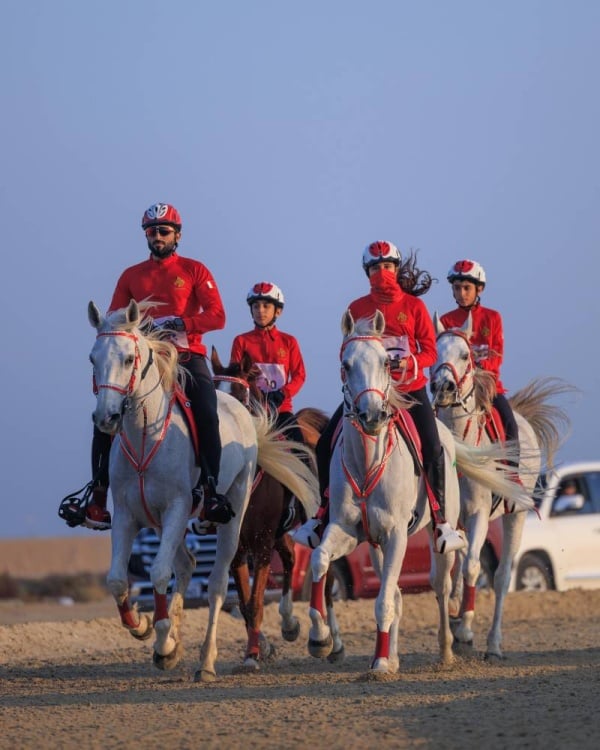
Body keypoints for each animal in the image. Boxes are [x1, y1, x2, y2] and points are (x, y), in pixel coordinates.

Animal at [89, 300, 310, 680]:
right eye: (92, 358)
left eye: (128, 359)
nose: (106, 417)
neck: (147, 436)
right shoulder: (129, 515)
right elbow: (118, 580)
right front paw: (144, 627)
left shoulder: (180, 508)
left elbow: (161, 574)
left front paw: (164, 640)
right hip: (168, 524)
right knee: (188, 564)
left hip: (232, 522)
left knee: (217, 585)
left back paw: (206, 660)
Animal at [211, 350, 332, 672]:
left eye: (238, 394)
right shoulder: (238, 549)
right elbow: (244, 603)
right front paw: (260, 648)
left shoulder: (262, 544)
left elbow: (254, 602)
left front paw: (252, 656)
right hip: (281, 533)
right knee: (290, 558)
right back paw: (290, 624)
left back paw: (329, 641)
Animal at [428, 314, 568, 660]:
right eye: (435, 353)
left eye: (465, 355)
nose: (443, 386)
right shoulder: (449, 517)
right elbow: (449, 567)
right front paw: (454, 611)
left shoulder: (478, 512)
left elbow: (473, 567)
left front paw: (465, 628)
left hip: (514, 516)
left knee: (503, 577)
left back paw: (492, 643)